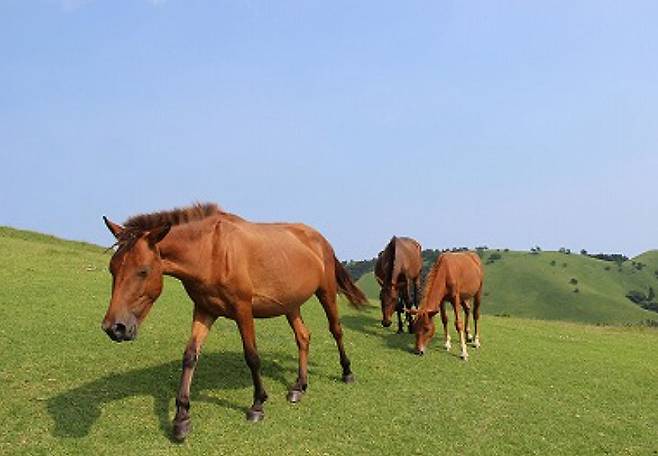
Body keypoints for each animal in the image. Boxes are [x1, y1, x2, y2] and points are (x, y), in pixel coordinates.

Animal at [100, 202, 366, 438]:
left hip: (326, 293)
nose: (115, 328)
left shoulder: (243, 309)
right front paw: (182, 417)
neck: (211, 251)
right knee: (303, 337)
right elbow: (190, 356)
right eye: (112, 269)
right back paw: (299, 386)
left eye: (143, 271)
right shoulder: (204, 310)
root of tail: (319, 239)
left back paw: (347, 373)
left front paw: (258, 404)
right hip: (291, 304)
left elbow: (252, 357)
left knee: (336, 330)